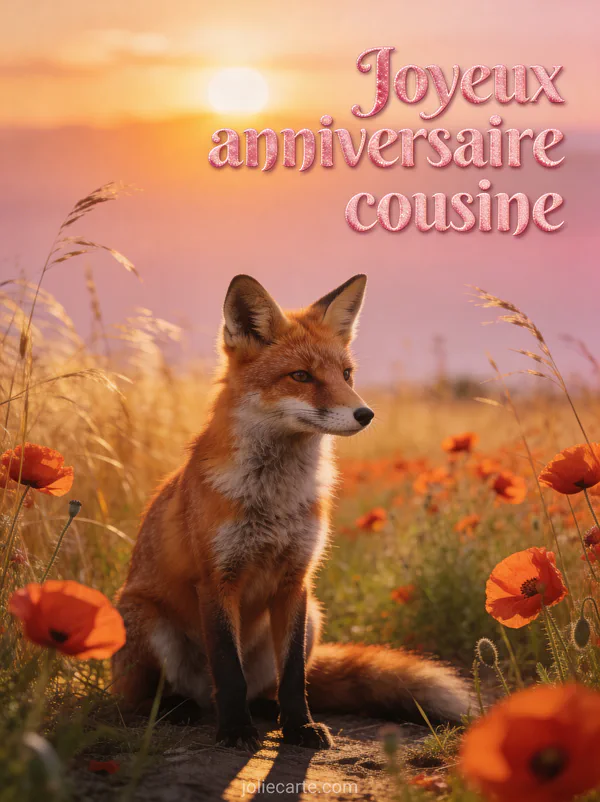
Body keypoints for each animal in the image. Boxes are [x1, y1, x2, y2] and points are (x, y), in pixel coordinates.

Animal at [112, 273, 472, 751]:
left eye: (346, 374)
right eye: (301, 376)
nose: (366, 413)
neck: (275, 500)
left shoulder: (296, 580)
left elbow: (294, 675)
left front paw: (299, 726)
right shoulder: (217, 580)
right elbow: (228, 671)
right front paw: (235, 731)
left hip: (315, 614)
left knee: (265, 686)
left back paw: (268, 711)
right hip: (143, 620)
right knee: (145, 697)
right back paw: (179, 708)